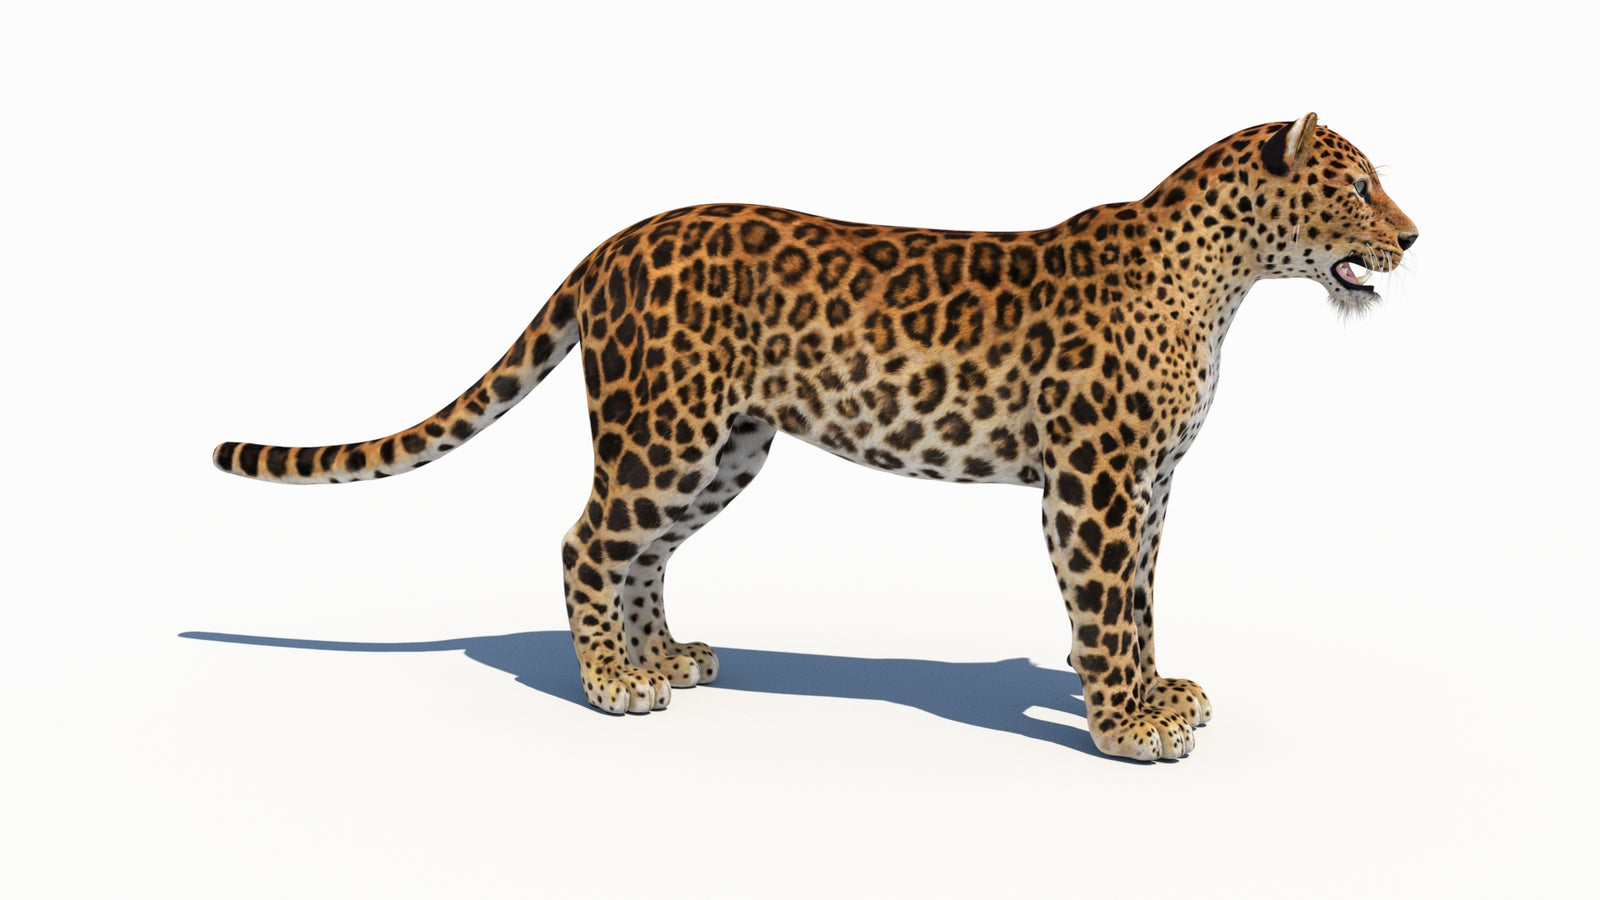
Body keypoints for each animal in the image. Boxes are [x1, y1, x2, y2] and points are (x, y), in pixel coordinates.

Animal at [214, 113, 1417, 761]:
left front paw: (1160, 696)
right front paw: (1123, 726)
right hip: (665, 433)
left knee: (640, 554)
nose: (1413, 236)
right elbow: (1105, 610)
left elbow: (1143, 604)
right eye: (1358, 185)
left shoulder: (1152, 488)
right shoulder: (1094, 485)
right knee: (585, 540)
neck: (1224, 281)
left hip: (723, 450)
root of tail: (614, 241)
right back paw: (610, 684)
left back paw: (662, 659)